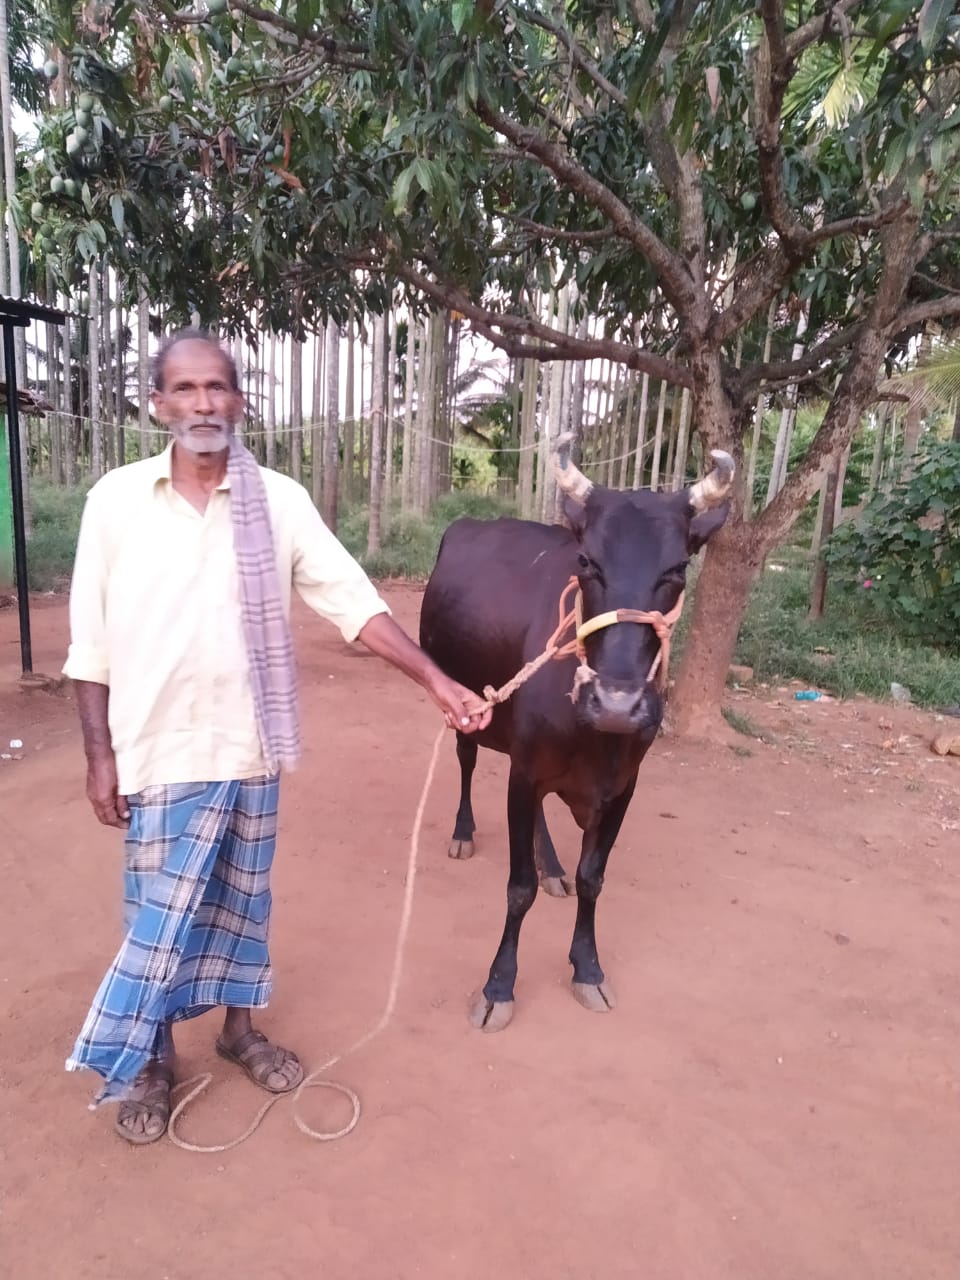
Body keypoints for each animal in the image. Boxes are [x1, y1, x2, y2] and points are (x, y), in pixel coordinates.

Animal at [419, 448, 737, 1029]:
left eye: (678, 568)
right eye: (587, 562)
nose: (615, 703)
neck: (597, 739)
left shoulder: (623, 787)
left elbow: (593, 878)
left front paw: (587, 968)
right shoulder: (523, 772)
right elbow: (517, 889)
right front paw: (499, 986)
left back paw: (552, 866)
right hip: (465, 706)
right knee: (466, 762)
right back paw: (464, 831)